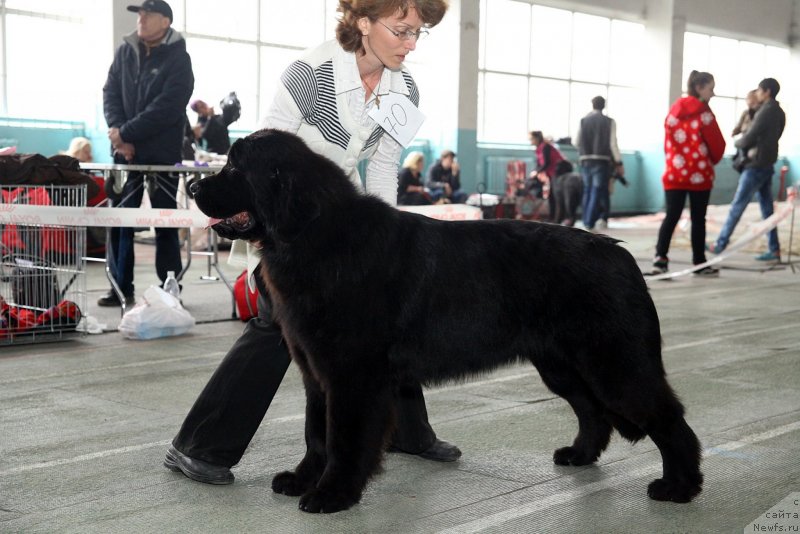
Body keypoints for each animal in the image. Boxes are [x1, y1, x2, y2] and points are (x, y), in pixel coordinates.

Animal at [191, 129, 704, 516]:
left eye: (236, 168)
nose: (194, 188)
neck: (313, 234)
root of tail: (622, 256)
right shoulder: (317, 372)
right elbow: (317, 434)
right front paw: (303, 480)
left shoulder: (352, 374)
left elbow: (343, 437)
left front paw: (333, 494)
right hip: (562, 365)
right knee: (593, 412)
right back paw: (579, 455)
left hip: (614, 364)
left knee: (668, 417)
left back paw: (679, 486)